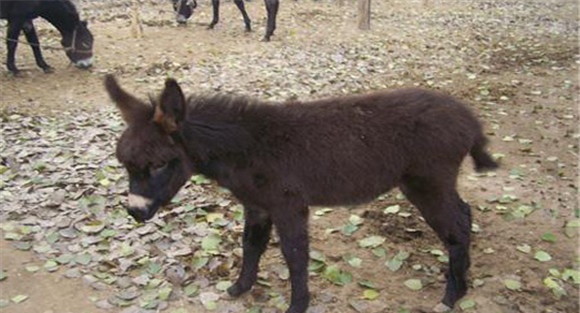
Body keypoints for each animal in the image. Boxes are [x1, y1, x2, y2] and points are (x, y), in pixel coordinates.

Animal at [104, 74, 498, 310]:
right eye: (125, 165)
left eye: (158, 165)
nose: (135, 212)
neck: (247, 148)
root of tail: (468, 117)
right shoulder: (258, 205)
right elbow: (251, 245)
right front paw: (240, 288)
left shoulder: (289, 205)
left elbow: (295, 256)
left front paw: (297, 305)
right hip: (432, 183)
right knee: (465, 215)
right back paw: (463, 283)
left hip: (427, 183)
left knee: (455, 228)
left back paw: (451, 296)